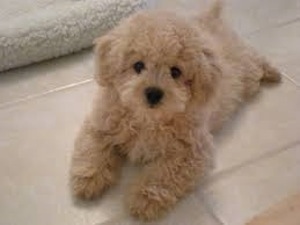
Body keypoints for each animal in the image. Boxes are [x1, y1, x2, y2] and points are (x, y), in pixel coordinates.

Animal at [70, 0, 282, 221]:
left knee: (256, 60)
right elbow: (92, 148)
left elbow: (164, 173)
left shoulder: (192, 152)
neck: (148, 118)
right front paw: (88, 178)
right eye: (138, 65)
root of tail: (212, 16)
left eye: (175, 72)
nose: (153, 93)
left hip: (247, 75)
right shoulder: (99, 124)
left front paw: (145, 198)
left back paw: (273, 72)